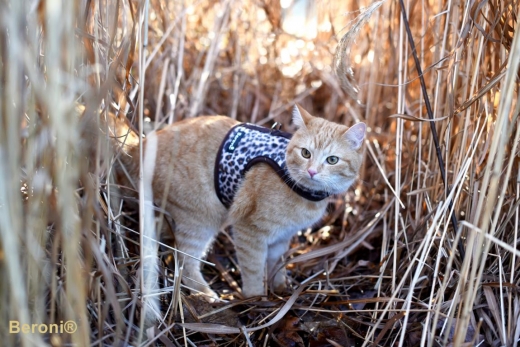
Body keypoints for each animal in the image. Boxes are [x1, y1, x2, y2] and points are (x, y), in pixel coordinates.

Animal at [89, 104, 366, 300]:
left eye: (332, 160)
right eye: (305, 153)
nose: (312, 171)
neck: (302, 191)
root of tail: (141, 145)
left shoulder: (282, 237)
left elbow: (276, 264)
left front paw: (280, 288)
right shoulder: (249, 230)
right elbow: (253, 268)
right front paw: (256, 299)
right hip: (202, 219)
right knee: (185, 262)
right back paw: (207, 295)